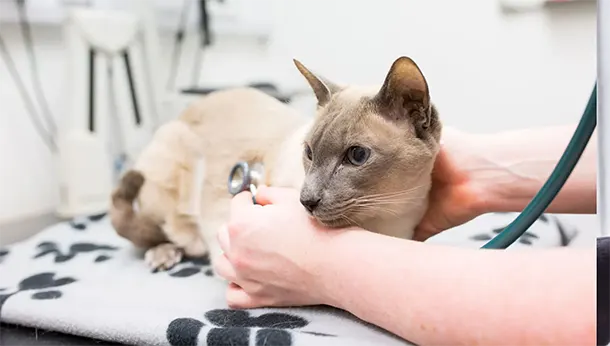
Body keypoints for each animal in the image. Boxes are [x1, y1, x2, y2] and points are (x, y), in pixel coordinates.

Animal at [109, 56, 440, 270]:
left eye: (357, 156)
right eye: (309, 152)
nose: (307, 201)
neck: (385, 227)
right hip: (170, 155)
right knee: (152, 230)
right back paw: (164, 254)